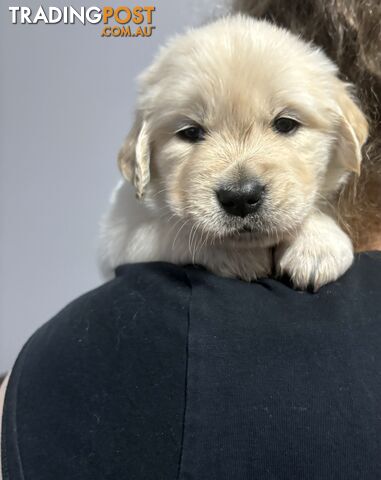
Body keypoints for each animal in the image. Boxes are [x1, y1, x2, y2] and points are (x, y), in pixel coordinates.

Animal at [99, 15, 366, 288]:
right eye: (190, 132)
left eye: (285, 124)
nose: (240, 198)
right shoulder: (121, 234)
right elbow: (178, 230)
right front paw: (237, 253)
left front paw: (317, 246)